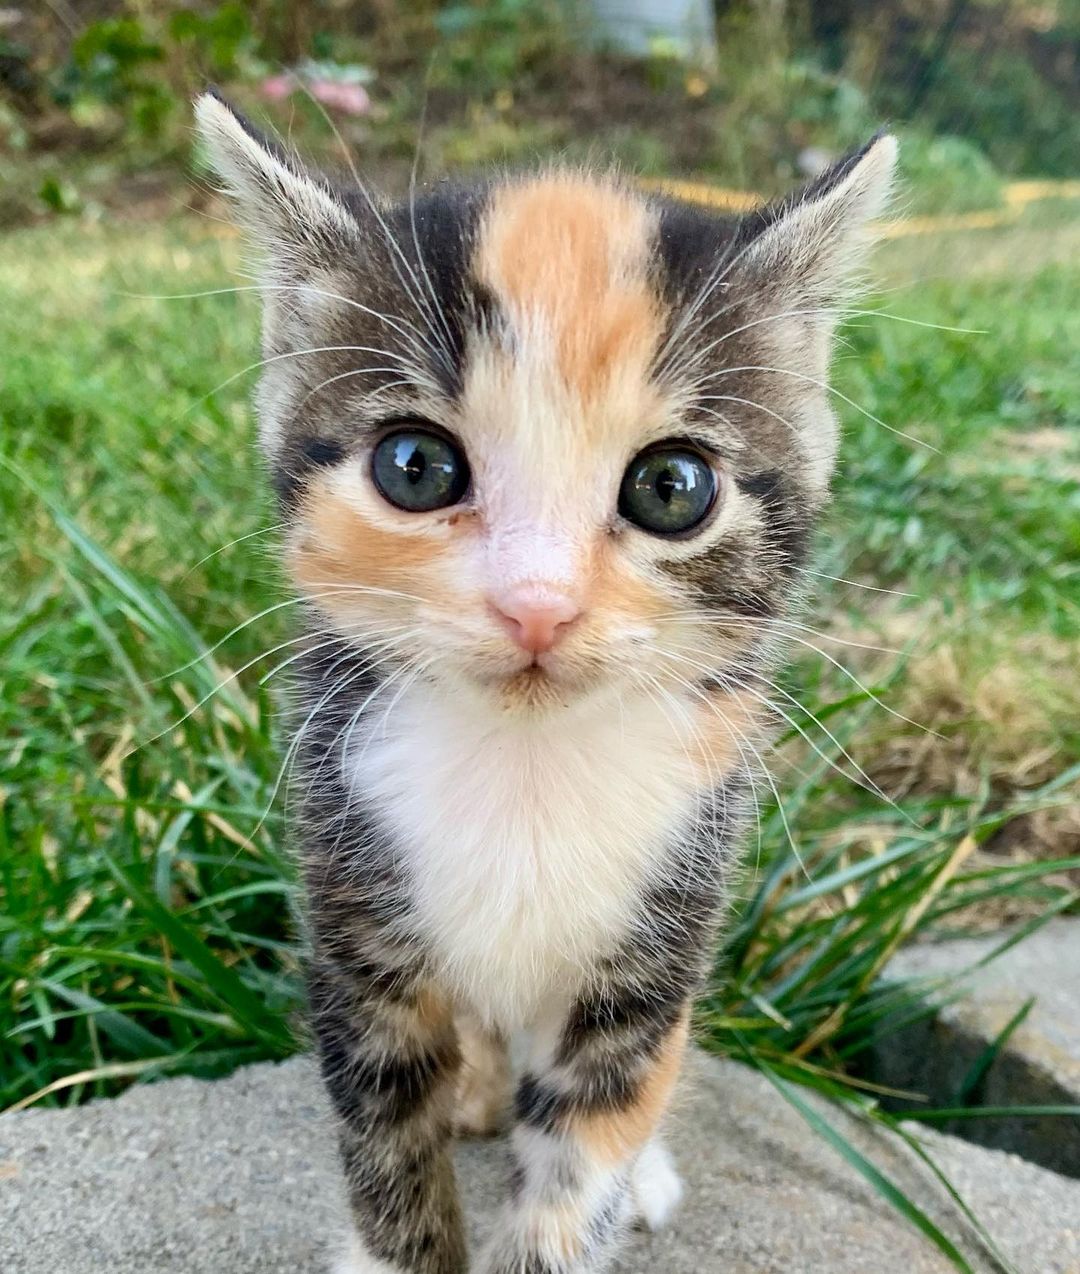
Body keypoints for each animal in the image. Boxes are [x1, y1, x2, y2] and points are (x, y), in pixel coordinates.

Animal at [193, 92, 896, 1274]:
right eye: (415, 467)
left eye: (673, 487)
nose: (538, 605)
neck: (525, 765)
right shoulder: (349, 910)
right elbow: (385, 1138)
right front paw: (399, 1237)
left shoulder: (665, 926)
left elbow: (589, 1146)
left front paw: (595, 1188)